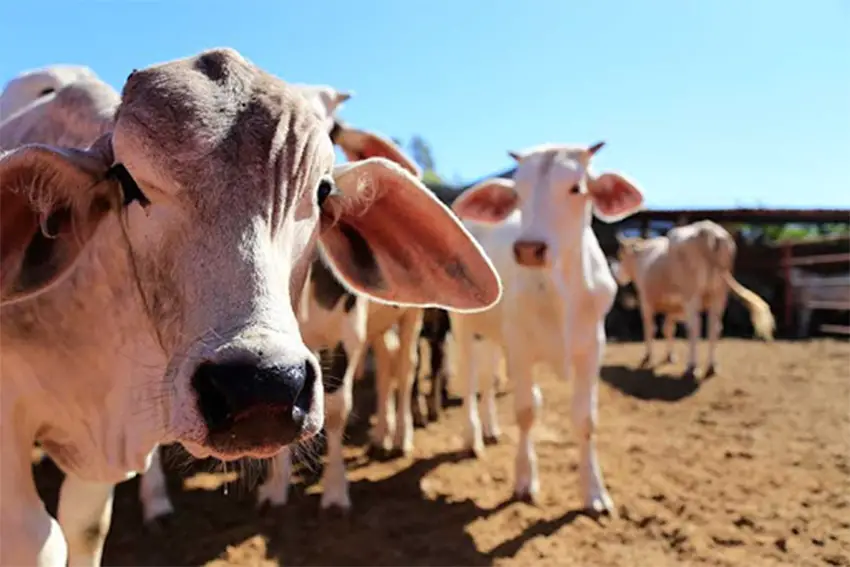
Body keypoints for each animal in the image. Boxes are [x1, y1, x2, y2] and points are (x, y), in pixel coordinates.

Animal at [1, 48, 504, 567]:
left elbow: (85, 527)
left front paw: (333, 494)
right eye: (125, 180)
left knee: (400, 371)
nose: (259, 386)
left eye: (323, 190)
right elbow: (36, 538)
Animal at [448, 143, 640, 516]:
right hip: (463, 324)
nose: (528, 249)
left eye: (576, 188)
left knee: (487, 378)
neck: (560, 289)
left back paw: (490, 428)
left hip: (493, 333)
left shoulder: (592, 348)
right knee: (469, 378)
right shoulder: (521, 349)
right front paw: (525, 479)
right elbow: (526, 411)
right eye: (517, 193)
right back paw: (472, 437)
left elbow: (585, 420)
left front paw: (594, 492)